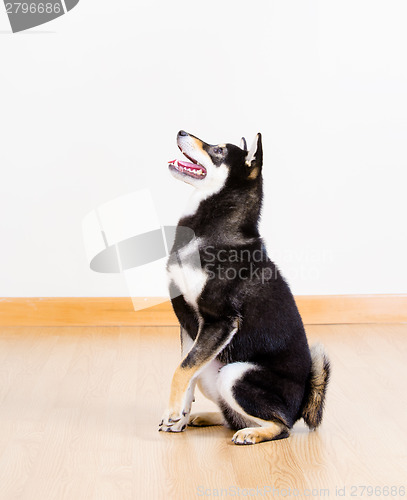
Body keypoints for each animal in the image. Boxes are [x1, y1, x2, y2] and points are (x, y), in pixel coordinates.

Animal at [159, 130, 332, 446]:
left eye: (217, 150)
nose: (181, 131)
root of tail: (300, 405)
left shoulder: (219, 322)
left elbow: (181, 369)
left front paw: (172, 411)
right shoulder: (189, 323)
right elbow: (186, 368)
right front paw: (179, 416)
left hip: (235, 374)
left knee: (281, 426)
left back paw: (253, 433)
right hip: (215, 370)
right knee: (232, 416)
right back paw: (209, 418)